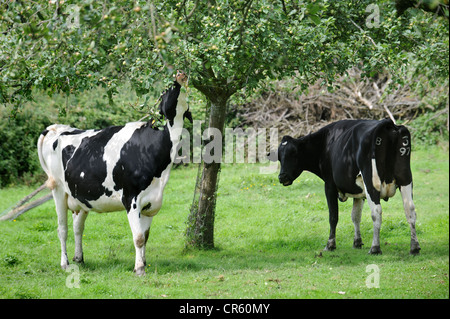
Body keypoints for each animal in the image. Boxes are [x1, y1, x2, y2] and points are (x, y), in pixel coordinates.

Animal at [38, 70, 192, 276]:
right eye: (167, 89)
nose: (179, 73)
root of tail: (57, 127)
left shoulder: (151, 202)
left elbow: (145, 236)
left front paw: (143, 263)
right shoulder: (131, 198)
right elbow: (138, 237)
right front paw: (139, 269)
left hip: (79, 195)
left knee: (78, 227)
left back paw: (79, 259)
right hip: (58, 191)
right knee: (62, 229)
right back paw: (65, 263)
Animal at [274, 119, 422, 256]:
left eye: (293, 153)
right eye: (279, 157)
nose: (282, 177)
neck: (325, 143)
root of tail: (388, 124)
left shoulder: (329, 185)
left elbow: (333, 216)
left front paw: (330, 245)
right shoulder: (358, 191)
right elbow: (355, 216)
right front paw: (357, 242)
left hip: (371, 182)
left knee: (376, 212)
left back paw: (375, 248)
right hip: (405, 178)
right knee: (410, 209)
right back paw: (414, 247)